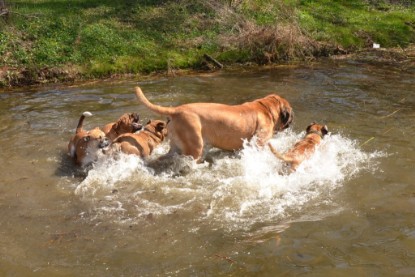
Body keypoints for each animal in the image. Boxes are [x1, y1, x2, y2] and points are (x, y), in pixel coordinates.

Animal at [135, 85, 294, 160]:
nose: (292, 120)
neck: (266, 107)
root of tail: (176, 110)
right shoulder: (259, 142)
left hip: (176, 146)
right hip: (195, 146)